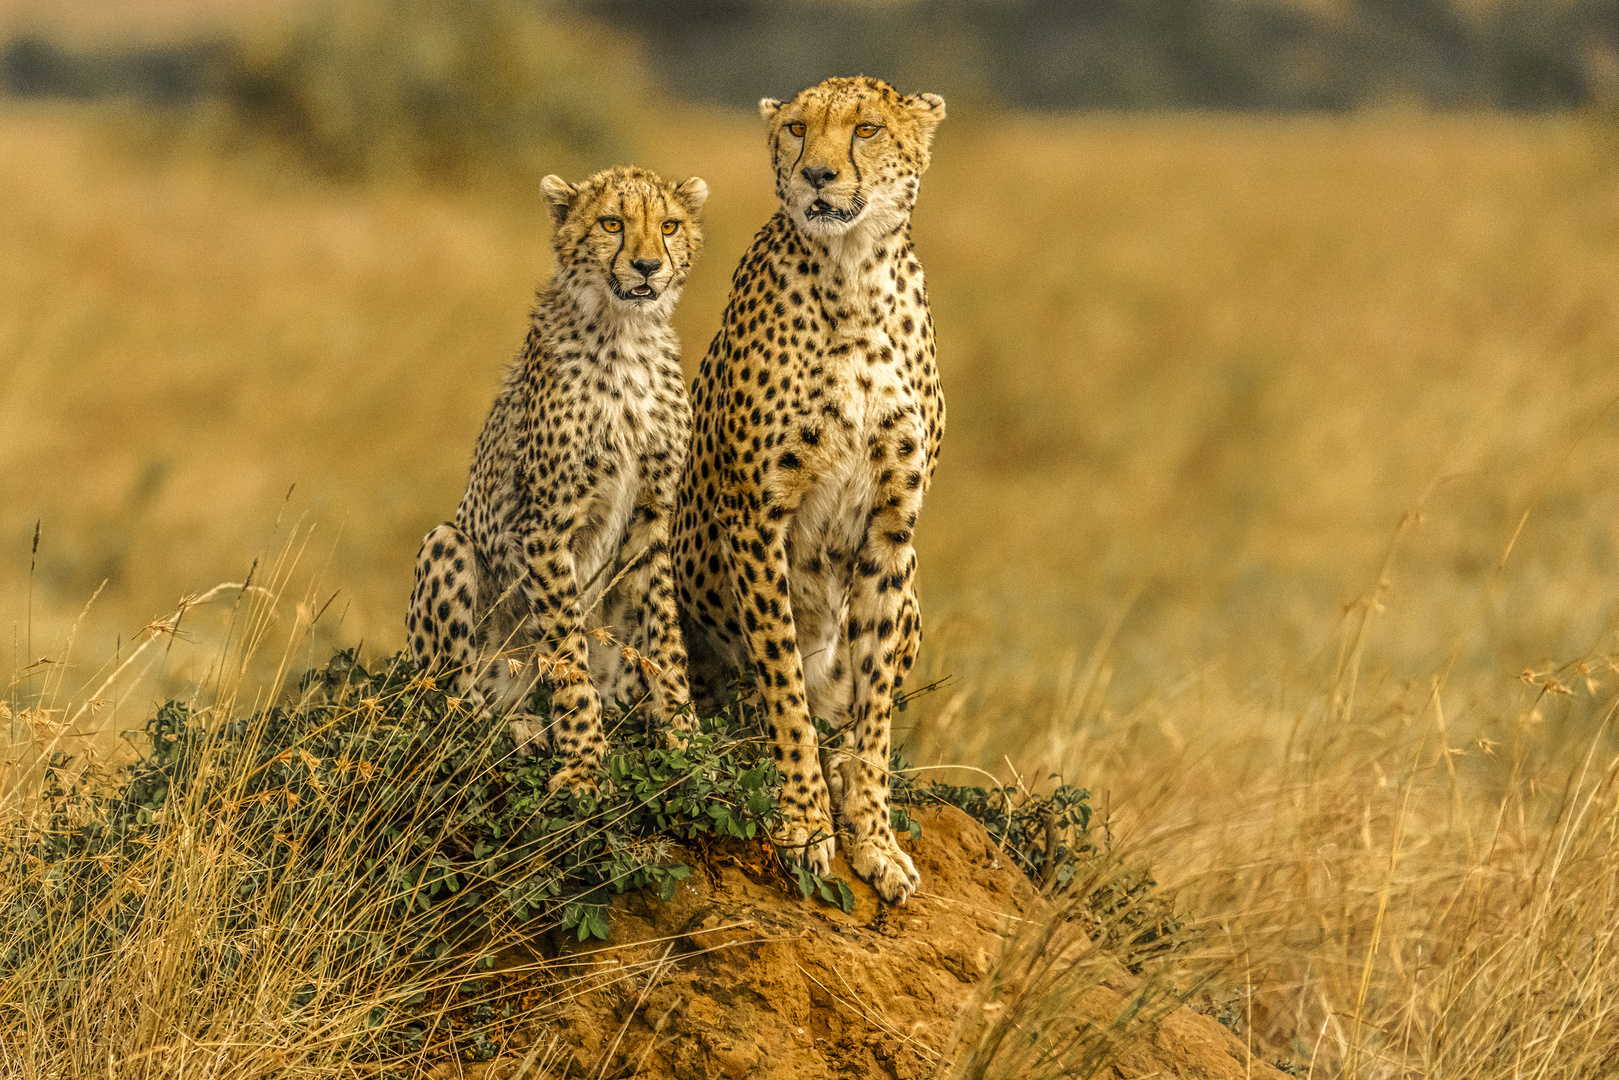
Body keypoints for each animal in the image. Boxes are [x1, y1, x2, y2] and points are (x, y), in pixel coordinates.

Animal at [407, 169, 705, 793]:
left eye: (668, 226)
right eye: (612, 223)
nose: (647, 266)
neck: (625, 336)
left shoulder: (653, 514)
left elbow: (665, 635)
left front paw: (685, 737)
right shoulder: (545, 524)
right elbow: (567, 650)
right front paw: (584, 765)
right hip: (449, 548)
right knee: (454, 706)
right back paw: (517, 726)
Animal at [673, 78, 945, 906]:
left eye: (867, 128)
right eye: (796, 129)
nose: (818, 175)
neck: (853, 278)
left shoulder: (892, 526)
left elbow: (874, 711)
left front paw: (874, 838)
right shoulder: (756, 515)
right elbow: (783, 681)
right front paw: (803, 823)